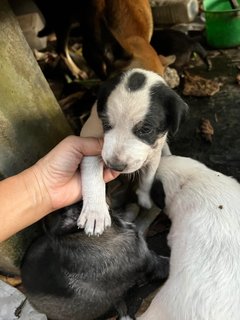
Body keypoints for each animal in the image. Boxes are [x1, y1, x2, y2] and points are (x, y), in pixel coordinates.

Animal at [79, 69, 188, 235]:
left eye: (145, 130)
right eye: (106, 123)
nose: (115, 167)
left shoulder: (154, 151)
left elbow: (148, 175)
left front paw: (144, 197)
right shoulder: (88, 139)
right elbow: (92, 174)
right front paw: (95, 212)